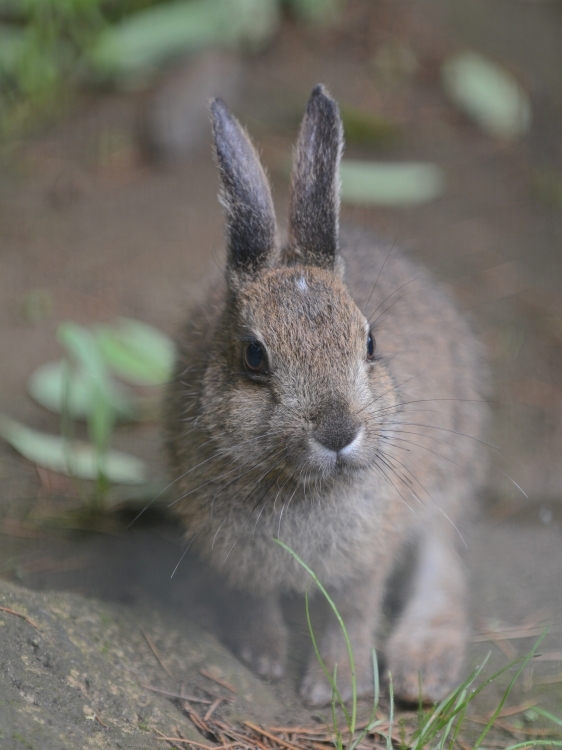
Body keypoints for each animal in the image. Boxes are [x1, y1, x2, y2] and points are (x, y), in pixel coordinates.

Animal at [165, 85, 486, 708]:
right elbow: (253, 601)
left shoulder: (369, 551)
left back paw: (421, 671)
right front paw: (262, 657)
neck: (302, 486)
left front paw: (334, 686)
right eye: (254, 356)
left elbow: (352, 615)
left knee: (444, 561)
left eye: (370, 342)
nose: (339, 432)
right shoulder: (237, 558)